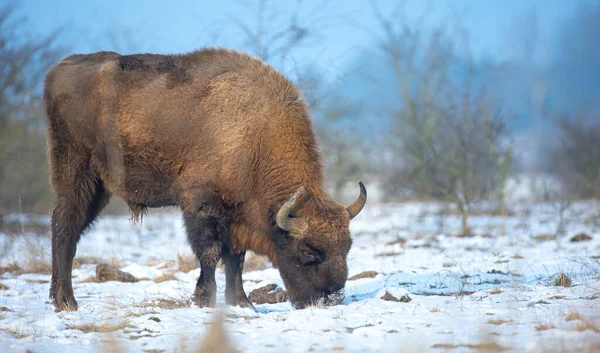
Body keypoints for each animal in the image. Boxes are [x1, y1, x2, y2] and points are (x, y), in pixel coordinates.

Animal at [44, 47, 366, 310]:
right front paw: (205, 299)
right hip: (75, 172)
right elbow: (210, 254)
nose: (332, 297)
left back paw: (58, 299)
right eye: (309, 253)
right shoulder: (201, 205)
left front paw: (242, 303)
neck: (256, 136)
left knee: (70, 229)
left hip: (98, 187)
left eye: (347, 247)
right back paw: (66, 301)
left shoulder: (237, 218)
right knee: (65, 227)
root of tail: (57, 70)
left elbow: (236, 259)